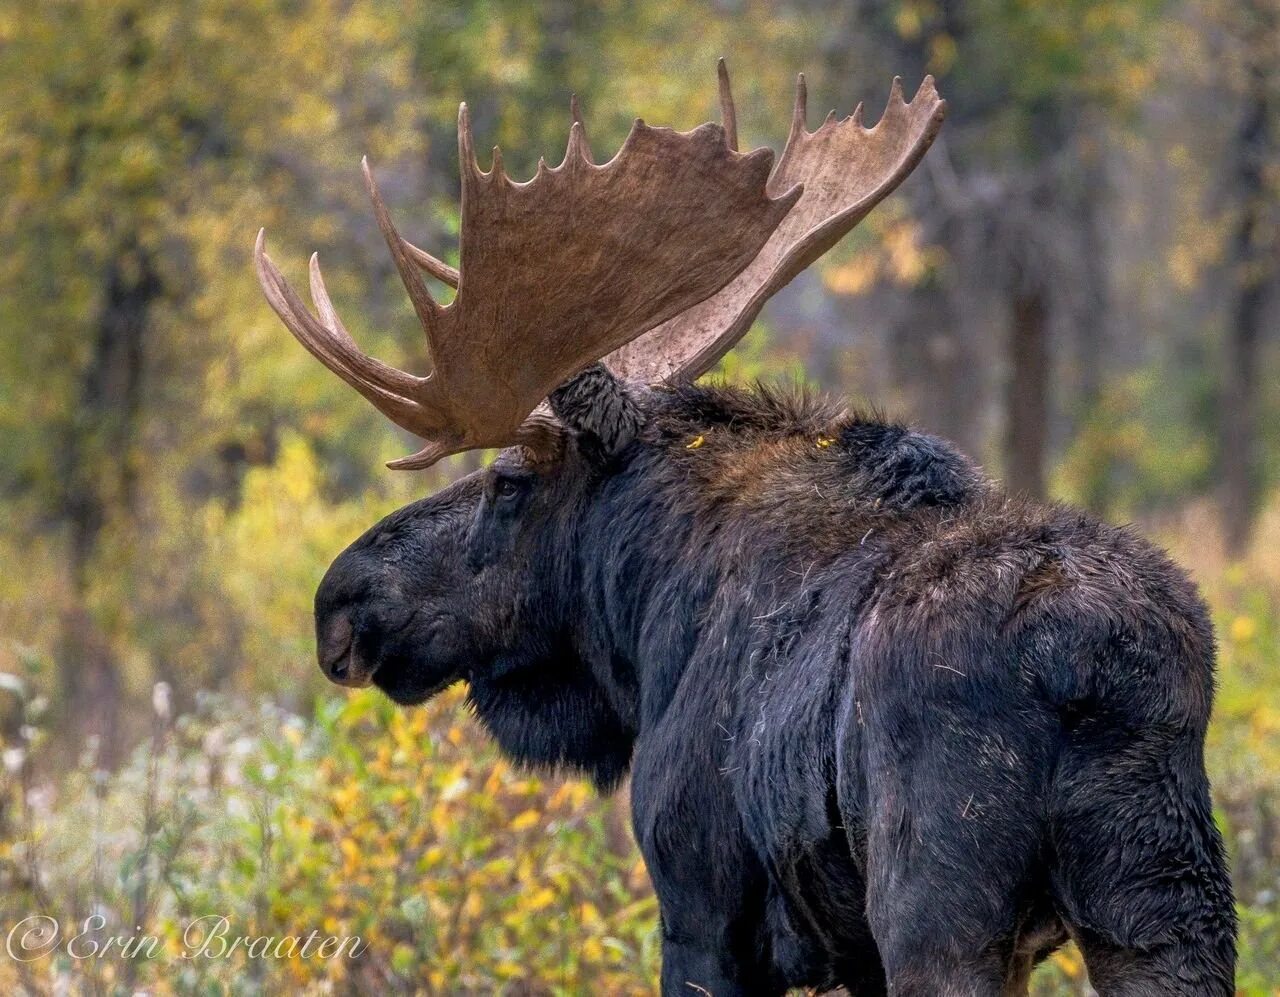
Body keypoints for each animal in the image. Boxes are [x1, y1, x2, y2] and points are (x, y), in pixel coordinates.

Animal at [254, 64, 1233, 997]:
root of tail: (1090, 664)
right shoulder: (853, 956)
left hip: (942, 909)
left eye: (508, 482)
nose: (339, 600)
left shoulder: (697, 901)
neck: (639, 618)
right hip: (1165, 904)